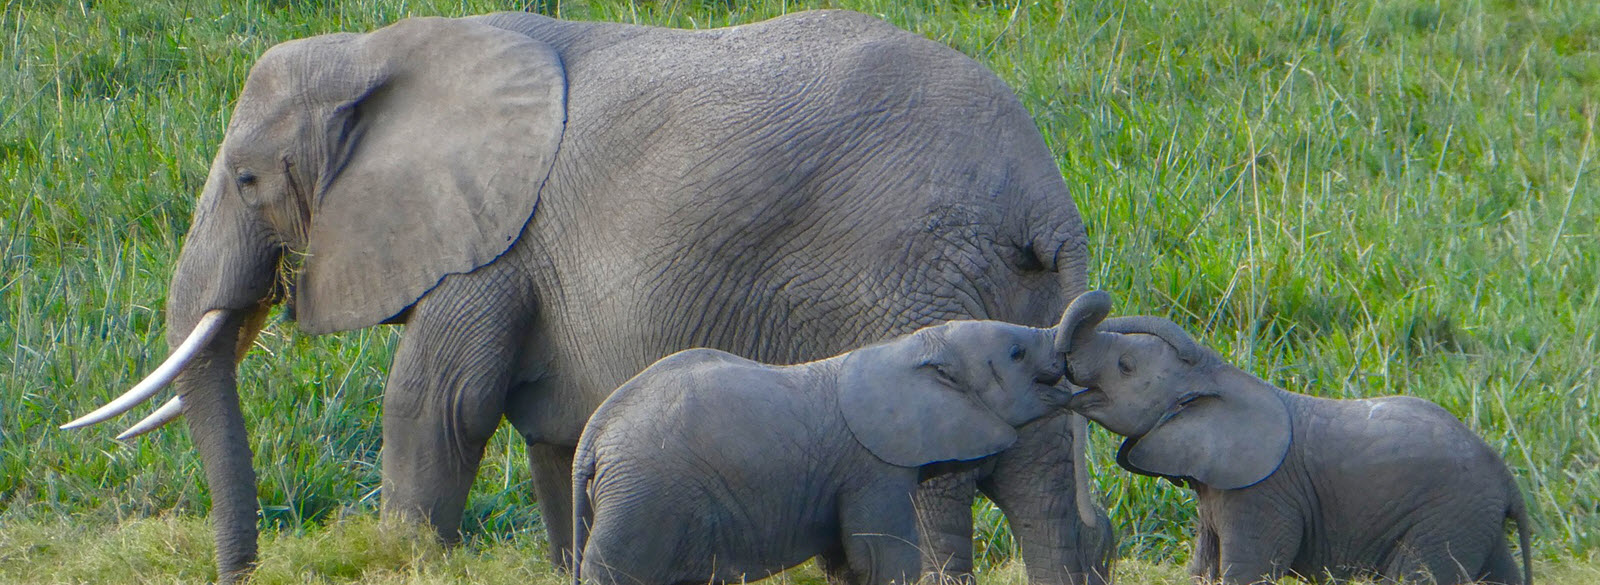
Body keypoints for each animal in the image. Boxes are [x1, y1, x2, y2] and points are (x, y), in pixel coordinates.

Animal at [576, 313, 1088, 585]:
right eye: (1017, 354)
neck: (905, 349)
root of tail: (592, 438)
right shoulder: (874, 469)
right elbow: (882, 557)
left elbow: (846, 564)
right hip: (641, 499)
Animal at [1056, 292, 1529, 585]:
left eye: (1125, 366)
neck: (1220, 375)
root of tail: (1508, 482)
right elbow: (1202, 568)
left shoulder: (1263, 494)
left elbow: (1248, 571)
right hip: (1474, 521)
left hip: (1446, 517)